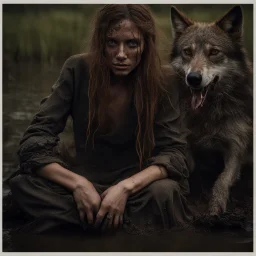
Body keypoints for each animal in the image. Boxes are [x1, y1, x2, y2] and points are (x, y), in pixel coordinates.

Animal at [169, 5, 253, 215]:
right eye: (187, 52)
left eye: (214, 52)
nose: (193, 78)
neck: (208, 113)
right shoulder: (185, 143)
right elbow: (189, 169)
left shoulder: (236, 147)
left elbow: (223, 180)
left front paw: (215, 210)